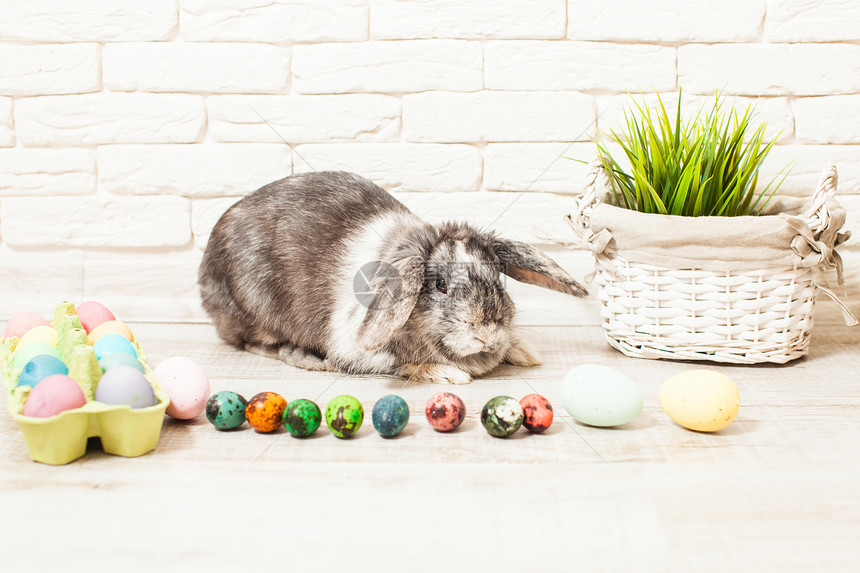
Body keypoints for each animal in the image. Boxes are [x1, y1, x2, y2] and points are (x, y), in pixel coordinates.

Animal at [201, 170, 588, 384]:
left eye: (497, 278)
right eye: (440, 285)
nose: (486, 331)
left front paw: (524, 351)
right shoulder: (362, 351)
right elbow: (404, 364)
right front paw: (450, 374)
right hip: (255, 307)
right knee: (254, 343)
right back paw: (306, 358)